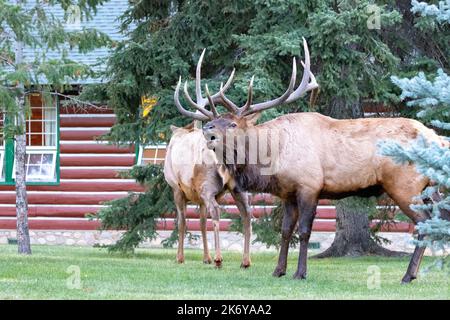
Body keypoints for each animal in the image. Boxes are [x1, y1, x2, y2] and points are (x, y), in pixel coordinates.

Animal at [164, 51, 253, 268]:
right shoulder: (198, 195)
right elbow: (202, 222)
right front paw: (205, 257)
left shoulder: (177, 187)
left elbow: (182, 221)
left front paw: (180, 257)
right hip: (238, 187)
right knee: (247, 215)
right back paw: (245, 260)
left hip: (206, 184)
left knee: (216, 212)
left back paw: (220, 258)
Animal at [174, 38, 450, 284]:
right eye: (215, 120)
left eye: (232, 124)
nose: (207, 130)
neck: (273, 158)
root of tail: (437, 139)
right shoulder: (287, 192)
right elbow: (286, 231)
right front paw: (278, 271)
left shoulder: (310, 186)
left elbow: (305, 231)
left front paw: (300, 273)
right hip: (427, 188)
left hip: (404, 185)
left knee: (424, 223)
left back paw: (408, 275)